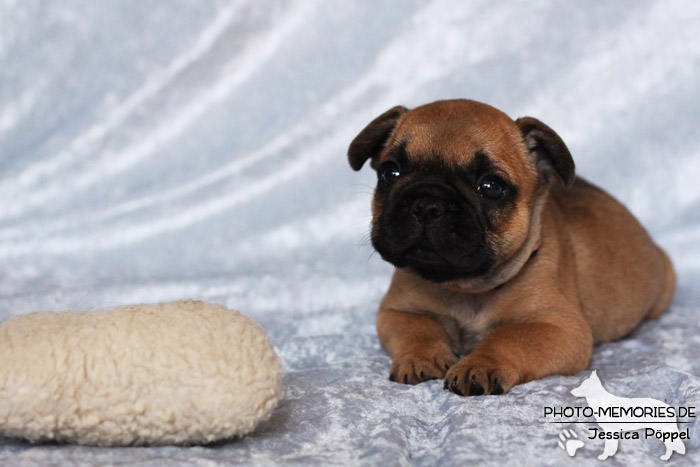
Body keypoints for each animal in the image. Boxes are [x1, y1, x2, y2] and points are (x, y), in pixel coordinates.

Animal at [348, 100, 676, 396]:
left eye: (492, 186)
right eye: (390, 173)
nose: (427, 203)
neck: (468, 288)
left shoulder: (560, 328)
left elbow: (509, 336)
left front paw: (479, 364)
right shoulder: (394, 311)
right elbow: (417, 328)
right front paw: (420, 356)